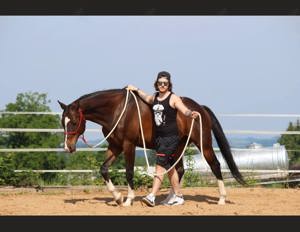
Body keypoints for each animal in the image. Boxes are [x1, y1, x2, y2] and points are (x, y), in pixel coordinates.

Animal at [57, 87, 245, 207]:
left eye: (73, 122)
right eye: (62, 122)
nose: (68, 147)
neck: (117, 110)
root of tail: (200, 109)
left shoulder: (128, 145)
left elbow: (129, 172)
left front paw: (128, 200)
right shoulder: (115, 146)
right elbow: (103, 169)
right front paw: (117, 197)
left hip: (203, 144)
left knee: (215, 165)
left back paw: (221, 199)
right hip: (179, 146)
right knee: (178, 170)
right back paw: (170, 199)